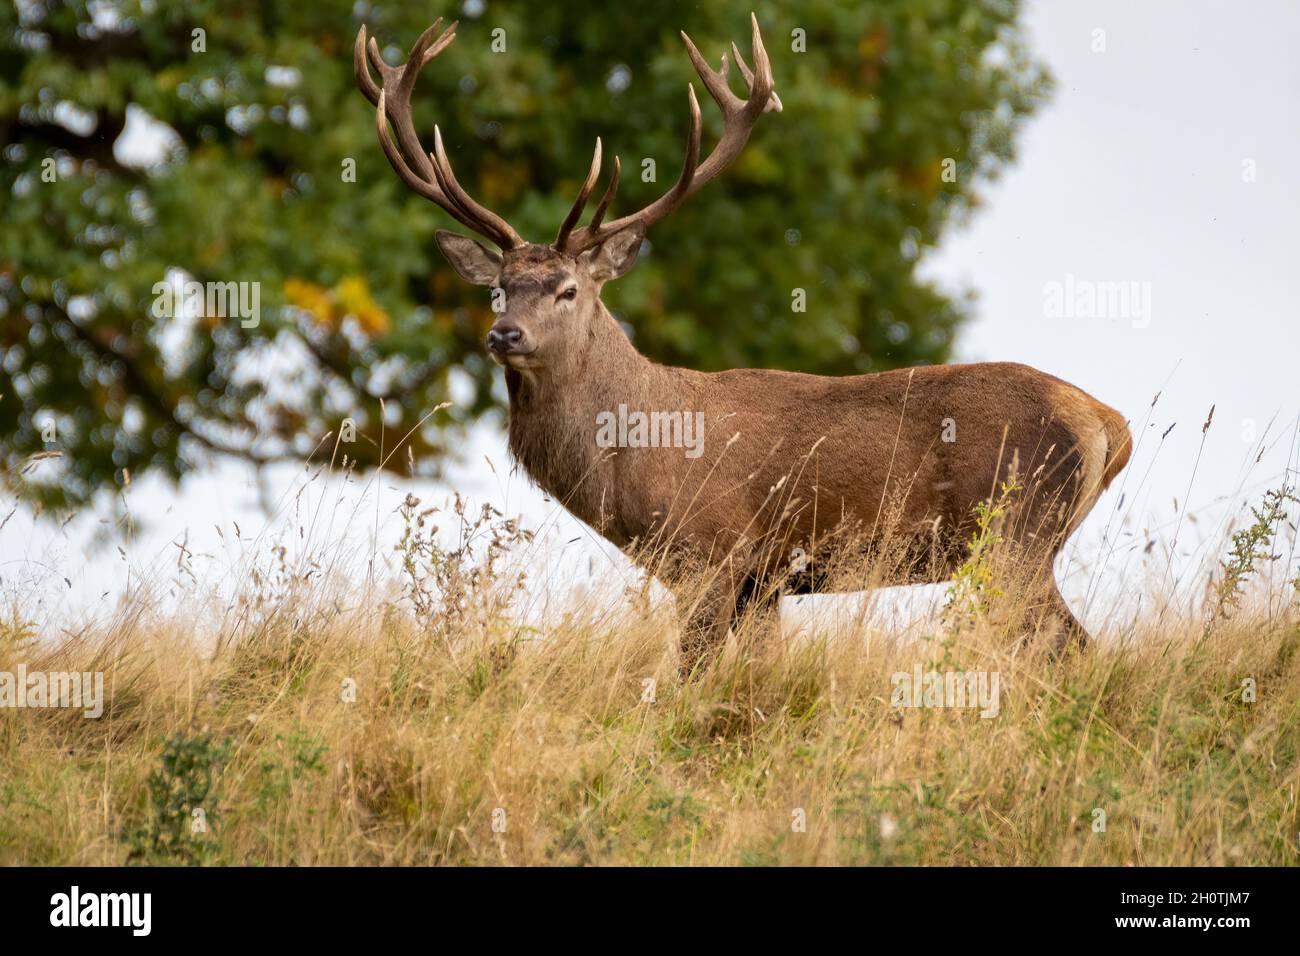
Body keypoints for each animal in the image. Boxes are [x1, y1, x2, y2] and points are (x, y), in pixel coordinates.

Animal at [354, 14, 1133, 673]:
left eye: (567, 289)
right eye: (498, 287)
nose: (503, 334)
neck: (637, 443)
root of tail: (1107, 423)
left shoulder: (712, 553)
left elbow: (684, 677)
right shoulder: (764, 582)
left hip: (1014, 534)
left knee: (1075, 646)